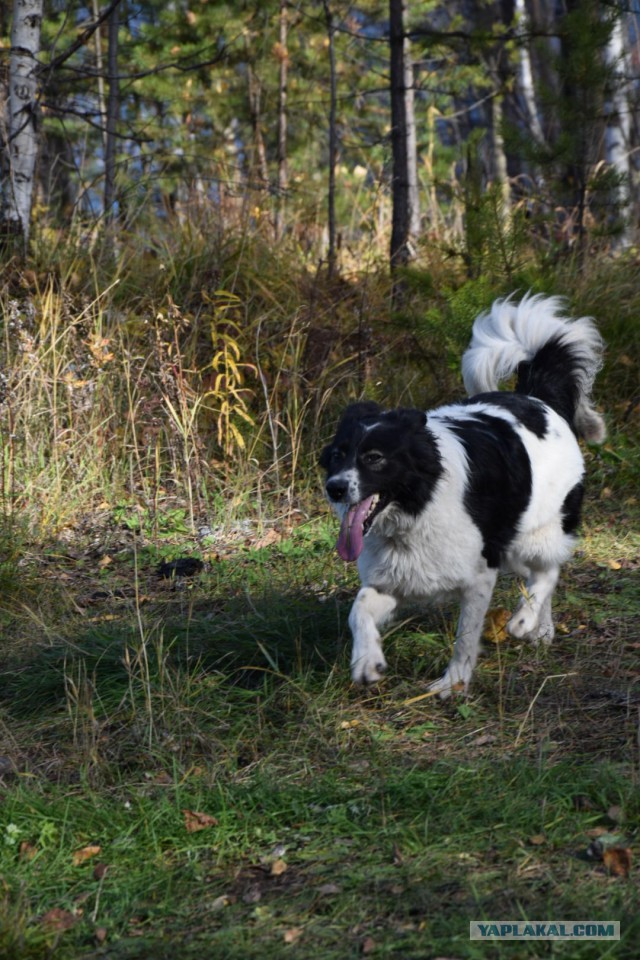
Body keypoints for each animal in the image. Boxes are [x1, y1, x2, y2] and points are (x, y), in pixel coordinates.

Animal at [320, 292, 604, 696]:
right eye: (337, 455)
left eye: (374, 458)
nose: (335, 487)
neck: (420, 505)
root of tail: (537, 399)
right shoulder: (391, 580)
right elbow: (358, 609)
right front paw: (366, 661)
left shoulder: (479, 575)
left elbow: (466, 636)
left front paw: (453, 683)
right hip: (511, 544)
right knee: (540, 573)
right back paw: (542, 628)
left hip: (533, 532)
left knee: (548, 571)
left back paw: (524, 621)